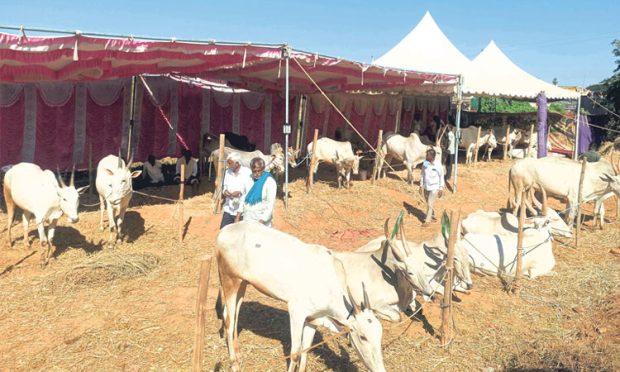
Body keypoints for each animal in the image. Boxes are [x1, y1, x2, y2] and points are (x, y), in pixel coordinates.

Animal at [216, 221, 386, 372]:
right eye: (363, 337)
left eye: (379, 335)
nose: (380, 370)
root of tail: (225, 231)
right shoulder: (296, 312)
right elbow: (295, 353)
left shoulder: (313, 319)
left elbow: (305, 350)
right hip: (230, 280)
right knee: (229, 320)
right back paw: (234, 364)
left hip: (243, 283)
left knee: (235, 315)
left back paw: (238, 354)